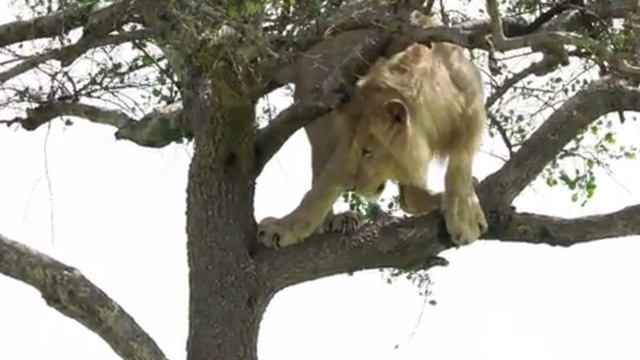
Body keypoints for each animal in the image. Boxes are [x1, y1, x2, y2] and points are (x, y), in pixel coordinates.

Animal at [258, 10, 488, 248]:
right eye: (359, 149)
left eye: (368, 151)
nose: (350, 187)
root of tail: (304, 55)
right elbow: (320, 190)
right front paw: (283, 227)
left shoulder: (473, 101)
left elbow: (461, 159)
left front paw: (463, 214)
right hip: (320, 120)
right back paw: (332, 220)